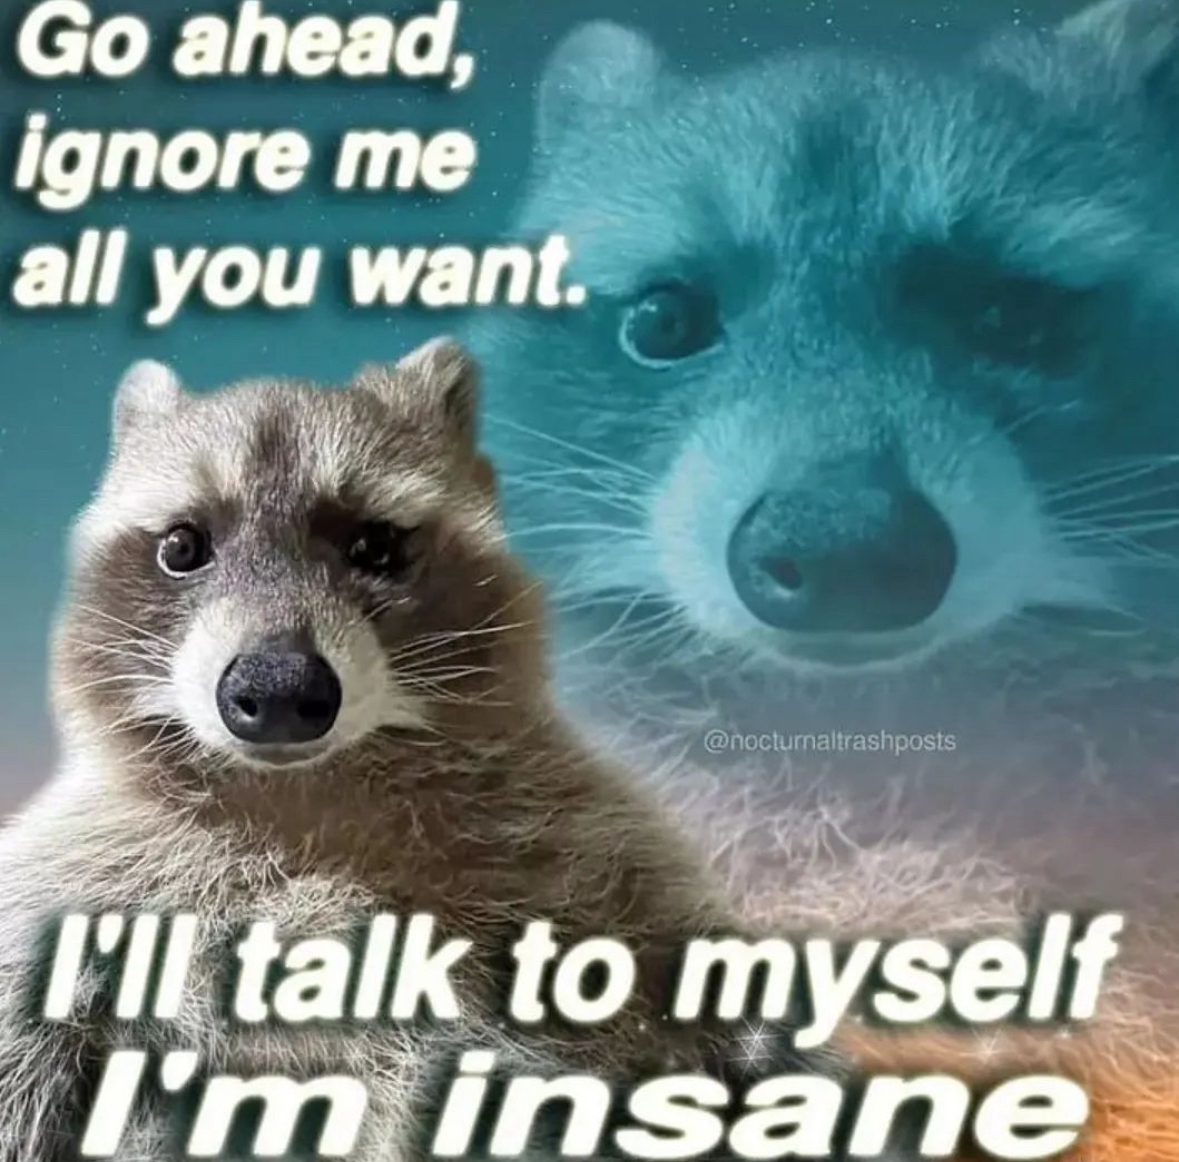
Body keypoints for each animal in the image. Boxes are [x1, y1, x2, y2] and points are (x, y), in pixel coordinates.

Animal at [0, 342, 832, 1160]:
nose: (278, 691)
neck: (314, 793)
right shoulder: (80, 874)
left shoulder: (593, 843)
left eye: (374, 545)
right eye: (182, 545)